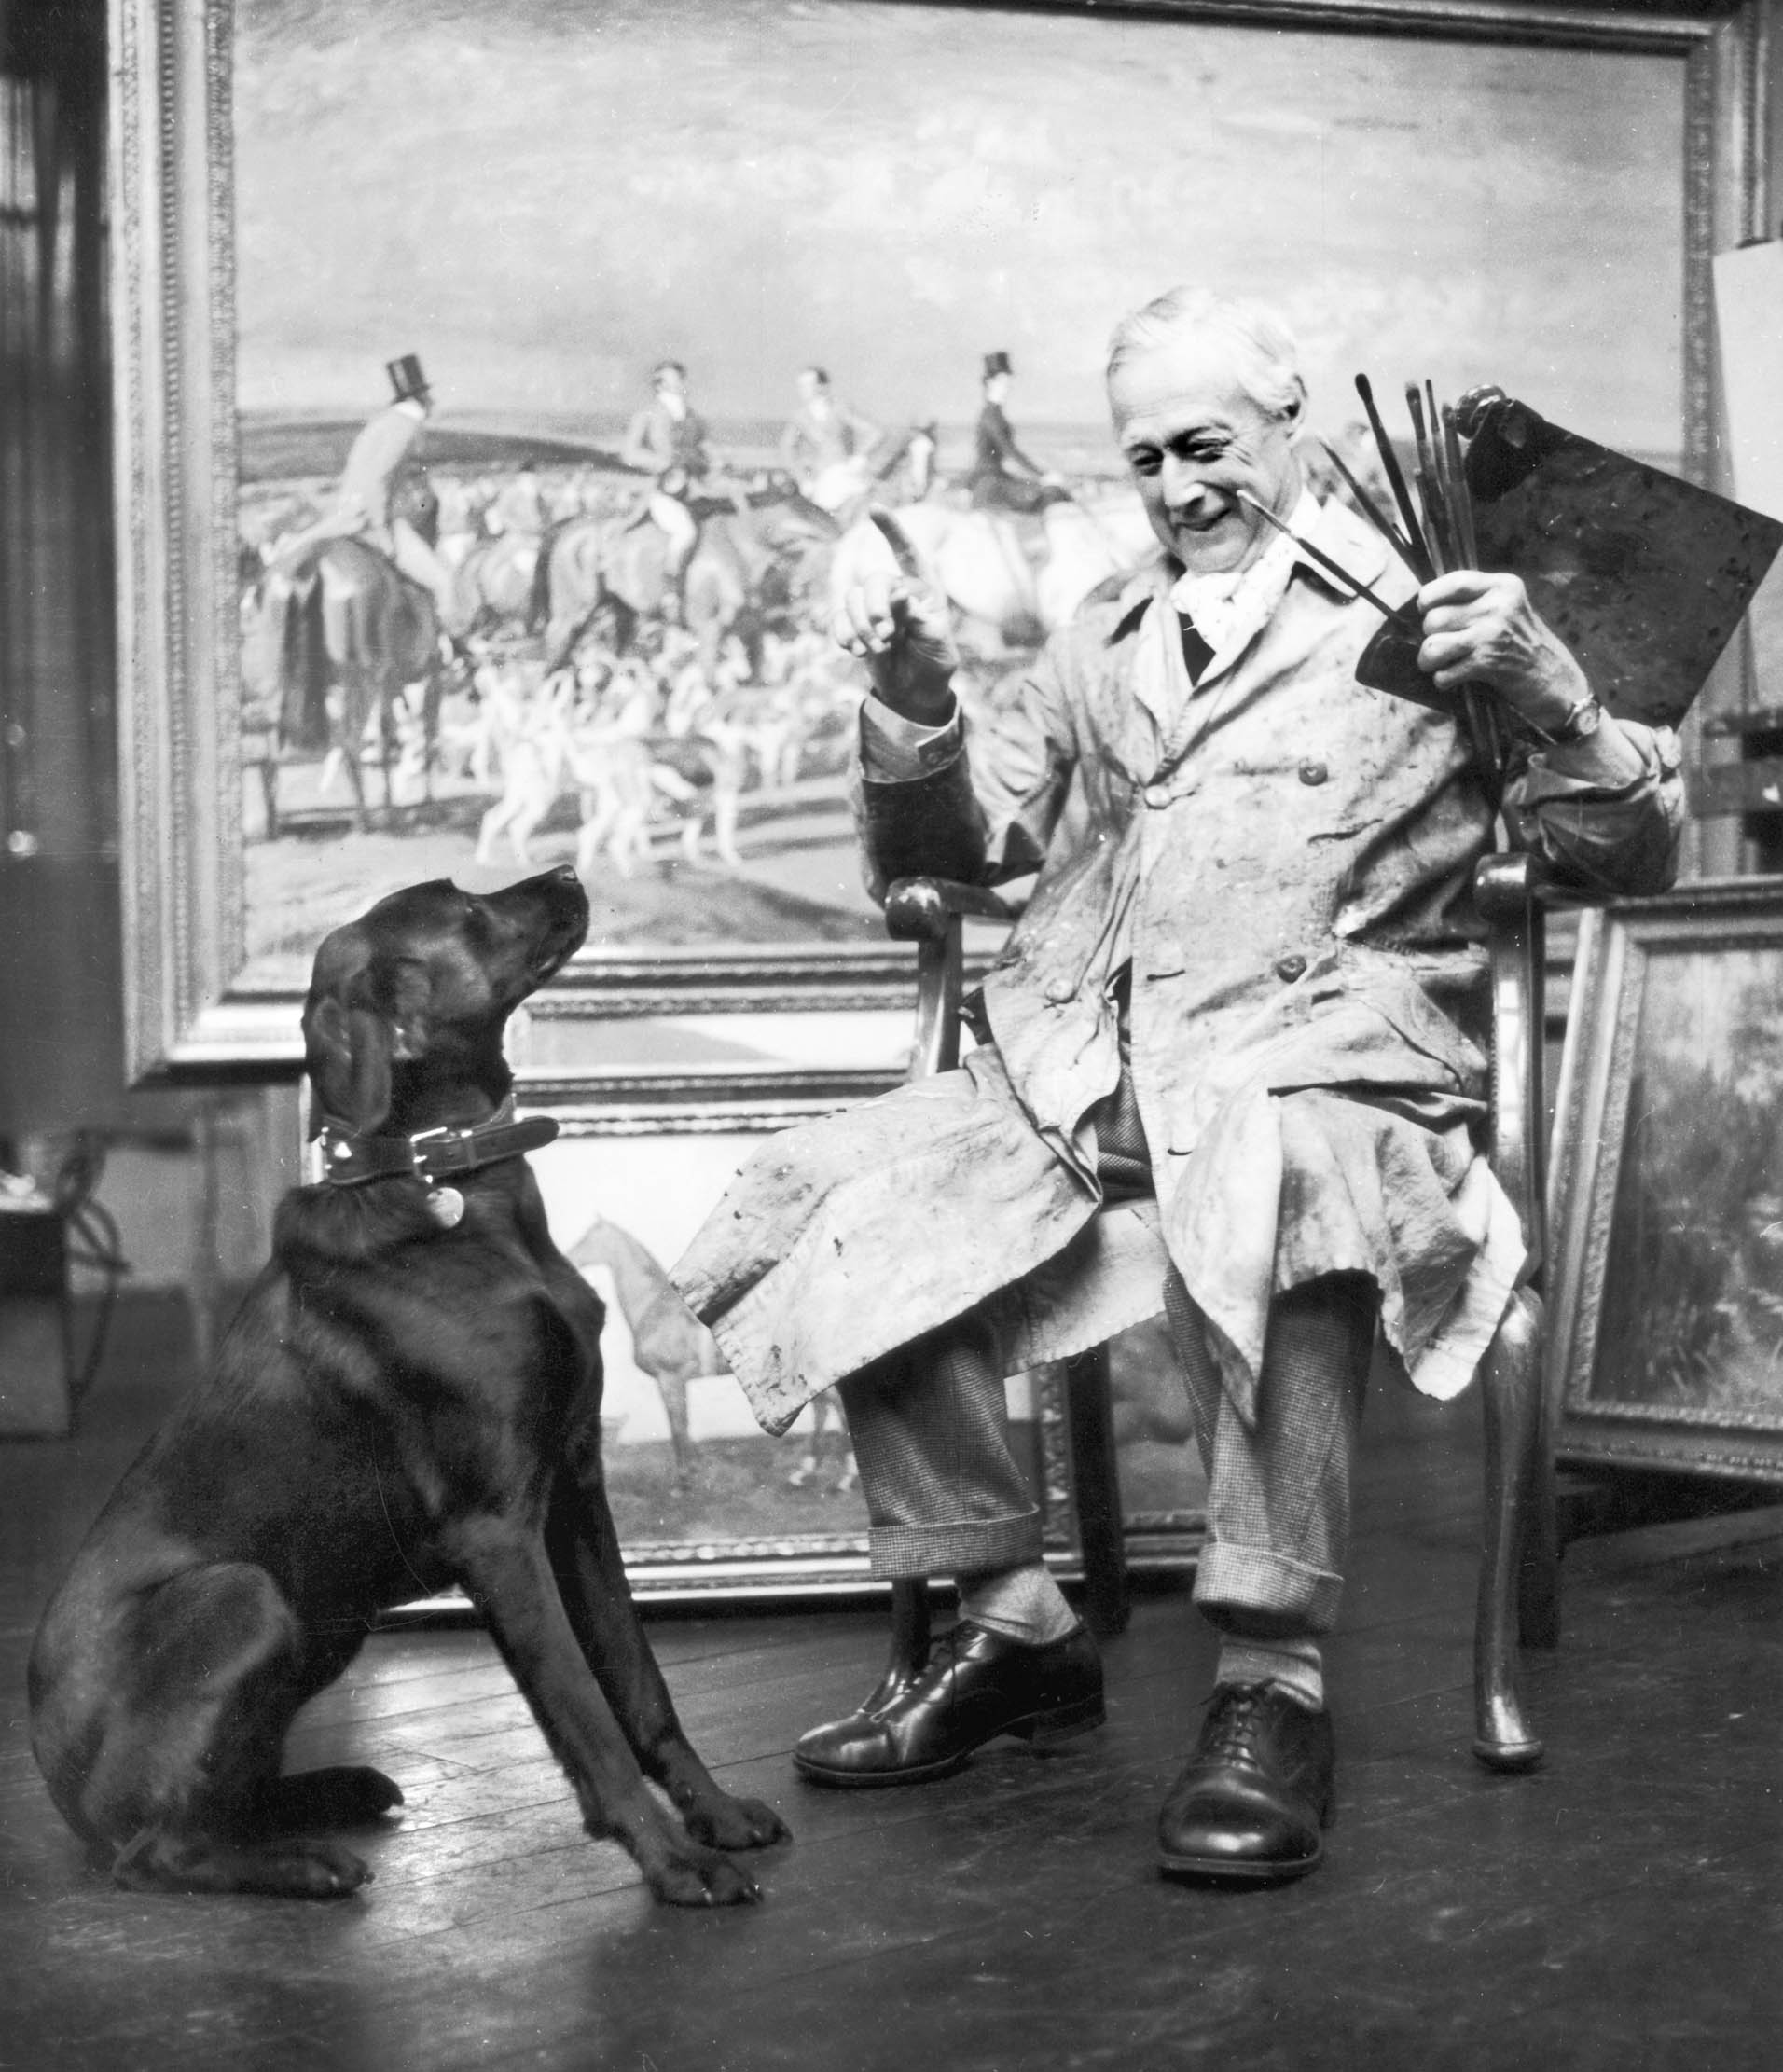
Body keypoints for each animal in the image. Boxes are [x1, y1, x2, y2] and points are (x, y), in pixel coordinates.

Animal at [28, 865, 788, 1906]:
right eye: (465, 911)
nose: (569, 872)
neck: (455, 1193)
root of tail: (50, 1771)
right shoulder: (496, 1531)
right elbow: (585, 1711)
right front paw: (673, 1862)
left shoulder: (576, 1489)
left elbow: (638, 1681)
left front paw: (715, 1814)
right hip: (246, 1598)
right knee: (156, 1850)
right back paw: (305, 1862)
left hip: (323, 1626)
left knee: (222, 1800)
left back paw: (336, 1790)